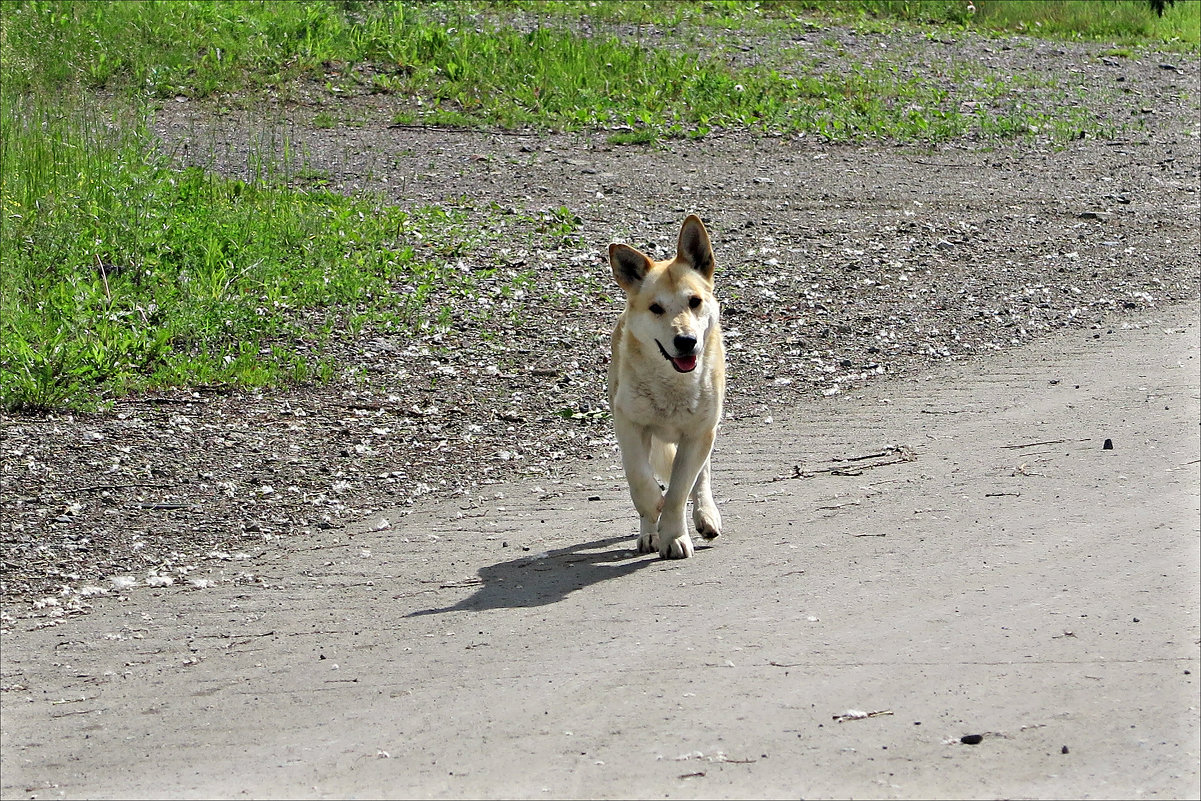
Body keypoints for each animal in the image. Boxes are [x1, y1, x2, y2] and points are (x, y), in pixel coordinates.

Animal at [605, 216, 725, 562]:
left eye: (694, 301)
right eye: (656, 308)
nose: (686, 341)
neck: (674, 383)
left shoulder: (699, 433)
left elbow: (679, 490)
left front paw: (674, 536)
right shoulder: (630, 424)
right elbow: (640, 480)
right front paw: (653, 512)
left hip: (706, 428)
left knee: (702, 476)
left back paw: (705, 515)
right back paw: (649, 533)